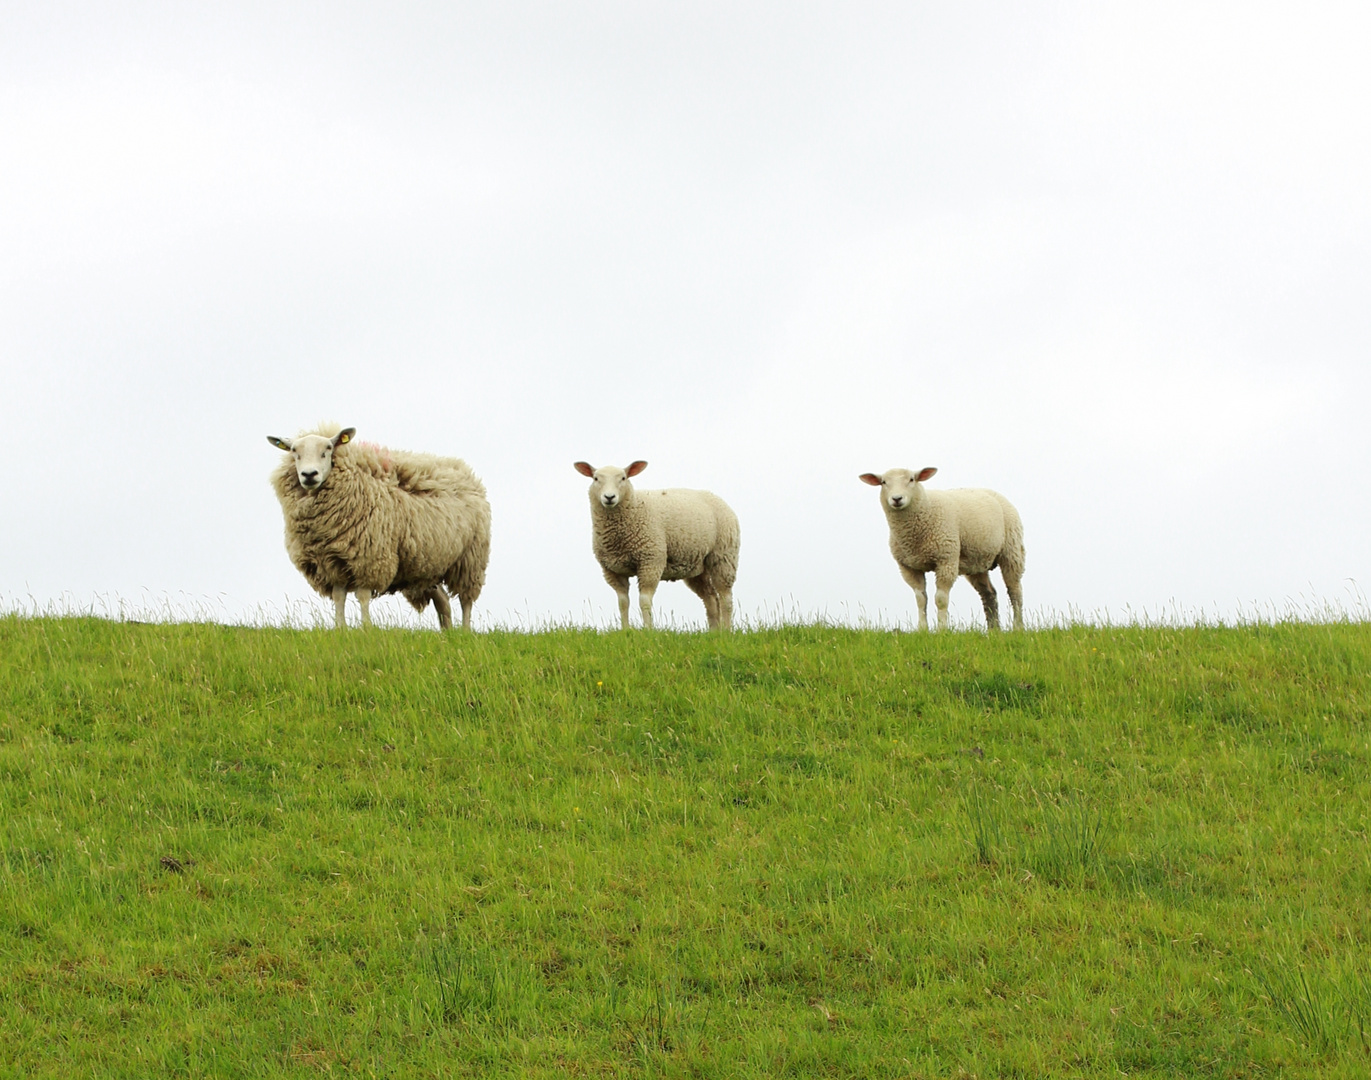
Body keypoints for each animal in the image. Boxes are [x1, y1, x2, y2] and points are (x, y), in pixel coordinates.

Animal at [264, 424, 490, 633]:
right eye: (294, 450)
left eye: (328, 449)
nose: (309, 474)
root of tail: (465, 471)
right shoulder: (331, 562)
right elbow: (339, 597)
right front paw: (340, 629)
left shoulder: (369, 558)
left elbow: (363, 596)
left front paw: (366, 628)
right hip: (429, 566)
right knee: (443, 600)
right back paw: (447, 634)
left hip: (470, 559)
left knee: (466, 600)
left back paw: (465, 632)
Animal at [570, 457, 740, 627]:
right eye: (595, 479)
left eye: (623, 478)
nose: (609, 497)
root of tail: (716, 497)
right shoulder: (612, 570)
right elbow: (623, 602)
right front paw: (625, 629)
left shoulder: (651, 561)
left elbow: (644, 601)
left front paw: (648, 629)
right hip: (697, 566)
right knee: (711, 599)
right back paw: (714, 631)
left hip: (723, 557)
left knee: (726, 598)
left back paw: (726, 630)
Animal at [860, 465, 1025, 633]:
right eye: (883, 482)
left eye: (912, 479)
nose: (897, 499)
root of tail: (992, 492)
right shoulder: (908, 567)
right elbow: (920, 599)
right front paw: (922, 629)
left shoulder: (946, 559)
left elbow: (940, 599)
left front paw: (942, 629)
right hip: (976, 561)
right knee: (989, 593)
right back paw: (993, 630)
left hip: (1012, 551)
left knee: (1015, 590)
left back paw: (1018, 626)